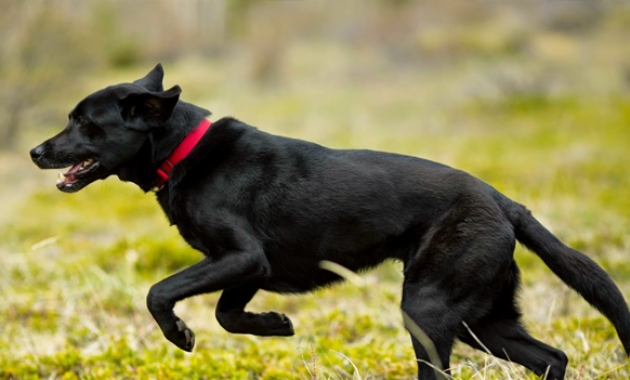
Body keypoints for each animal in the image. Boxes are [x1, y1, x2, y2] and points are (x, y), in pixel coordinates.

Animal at [30, 65, 630, 380]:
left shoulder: (240, 257)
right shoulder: (248, 267)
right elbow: (228, 314)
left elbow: (160, 292)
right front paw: (276, 325)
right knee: (553, 357)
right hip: (483, 320)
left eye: (83, 122)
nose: (35, 151)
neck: (182, 149)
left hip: (430, 310)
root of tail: (503, 202)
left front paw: (180, 335)